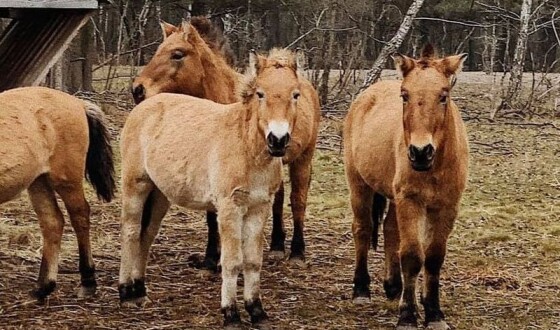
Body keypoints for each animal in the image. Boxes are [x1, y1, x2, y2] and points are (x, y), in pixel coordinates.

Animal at [0, 86, 115, 300]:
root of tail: (79, 103)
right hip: (38, 181)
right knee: (53, 221)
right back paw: (43, 287)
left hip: (66, 180)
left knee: (79, 217)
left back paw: (87, 282)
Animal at [118, 48, 306, 328]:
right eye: (260, 93)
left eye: (296, 95)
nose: (278, 140)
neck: (247, 148)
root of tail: (143, 107)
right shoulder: (229, 208)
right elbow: (232, 262)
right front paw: (231, 314)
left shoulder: (258, 208)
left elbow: (253, 261)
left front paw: (257, 311)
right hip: (135, 185)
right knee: (130, 232)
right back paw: (125, 293)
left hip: (160, 193)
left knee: (146, 234)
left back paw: (139, 290)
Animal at [132, 17, 322, 268]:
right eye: (157, 51)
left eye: (177, 54)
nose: (137, 90)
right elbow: (212, 216)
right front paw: (210, 258)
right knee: (279, 199)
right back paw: (276, 246)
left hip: (303, 158)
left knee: (298, 199)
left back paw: (297, 252)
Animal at [346, 44, 468, 330]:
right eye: (405, 95)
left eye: (443, 95)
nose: (420, 152)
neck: (435, 166)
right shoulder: (411, 201)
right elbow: (412, 256)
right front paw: (408, 315)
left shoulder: (447, 206)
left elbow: (433, 257)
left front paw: (433, 313)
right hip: (359, 184)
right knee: (363, 229)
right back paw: (361, 290)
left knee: (390, 229)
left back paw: (393, 286)